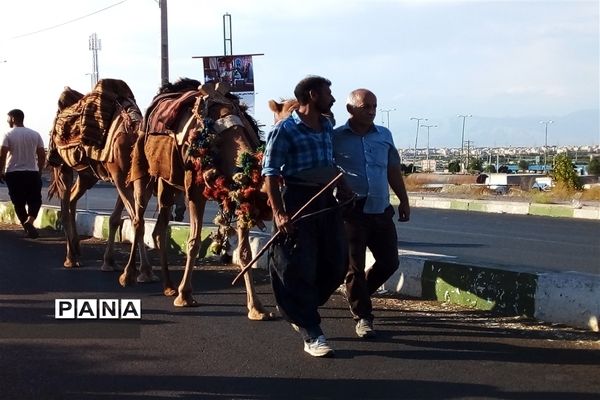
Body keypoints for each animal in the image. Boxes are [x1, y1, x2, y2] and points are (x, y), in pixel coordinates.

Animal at [48, 77, 157, 284]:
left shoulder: (132, 180)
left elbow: (118, 219)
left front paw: (111, 262)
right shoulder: (120, 177)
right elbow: (135, 220)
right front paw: (136, 272)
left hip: (87, 174)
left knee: (73, 198)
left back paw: (77, 250)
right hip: (63, 165)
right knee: (64, 205)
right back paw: (71, 258)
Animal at [127, 78, 276, 320]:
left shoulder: (238, 193)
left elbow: (244, 251)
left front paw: (257, 308)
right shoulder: (195, 190)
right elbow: (193, 242)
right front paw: (185, 296)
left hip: (168, 182)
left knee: (159, 228)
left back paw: (168, 286)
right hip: (143, 166)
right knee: (138, 220)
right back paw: (129, 276)